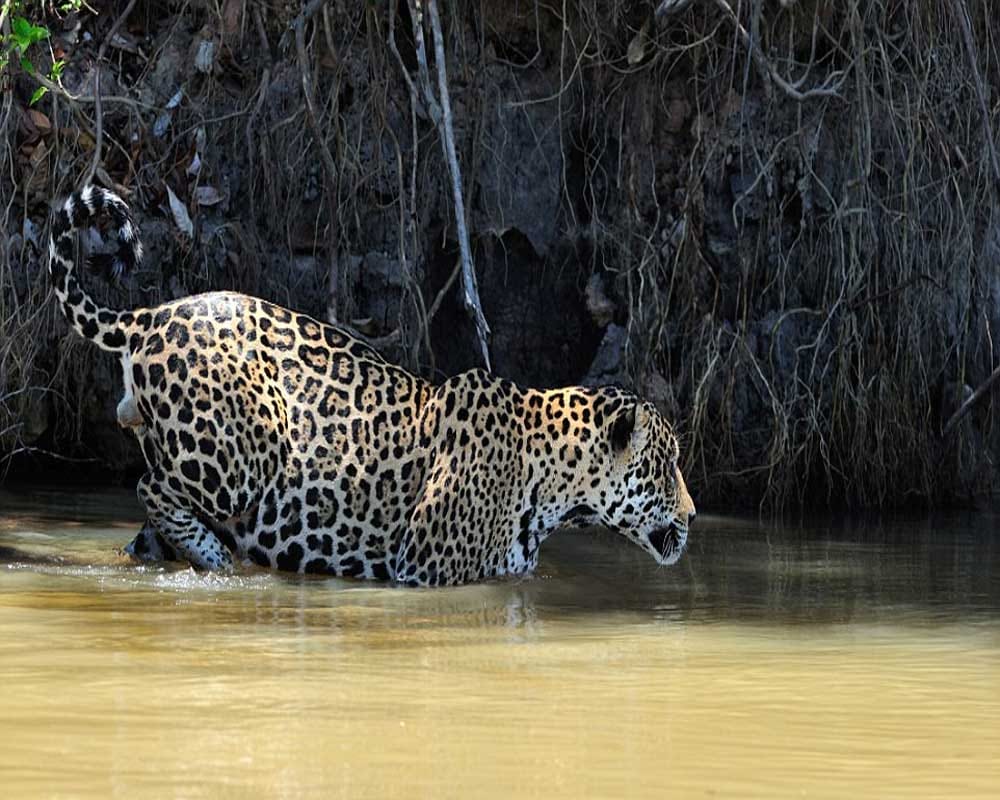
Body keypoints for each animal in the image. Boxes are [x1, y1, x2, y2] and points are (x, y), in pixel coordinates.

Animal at [49, 185, 696, 586]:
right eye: (666, 465)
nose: (693, 515)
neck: (556, 484)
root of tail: (153, 314)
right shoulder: (427, 571)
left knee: (147, 525)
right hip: (241, 459)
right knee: (152, 489)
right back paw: (218, 558)